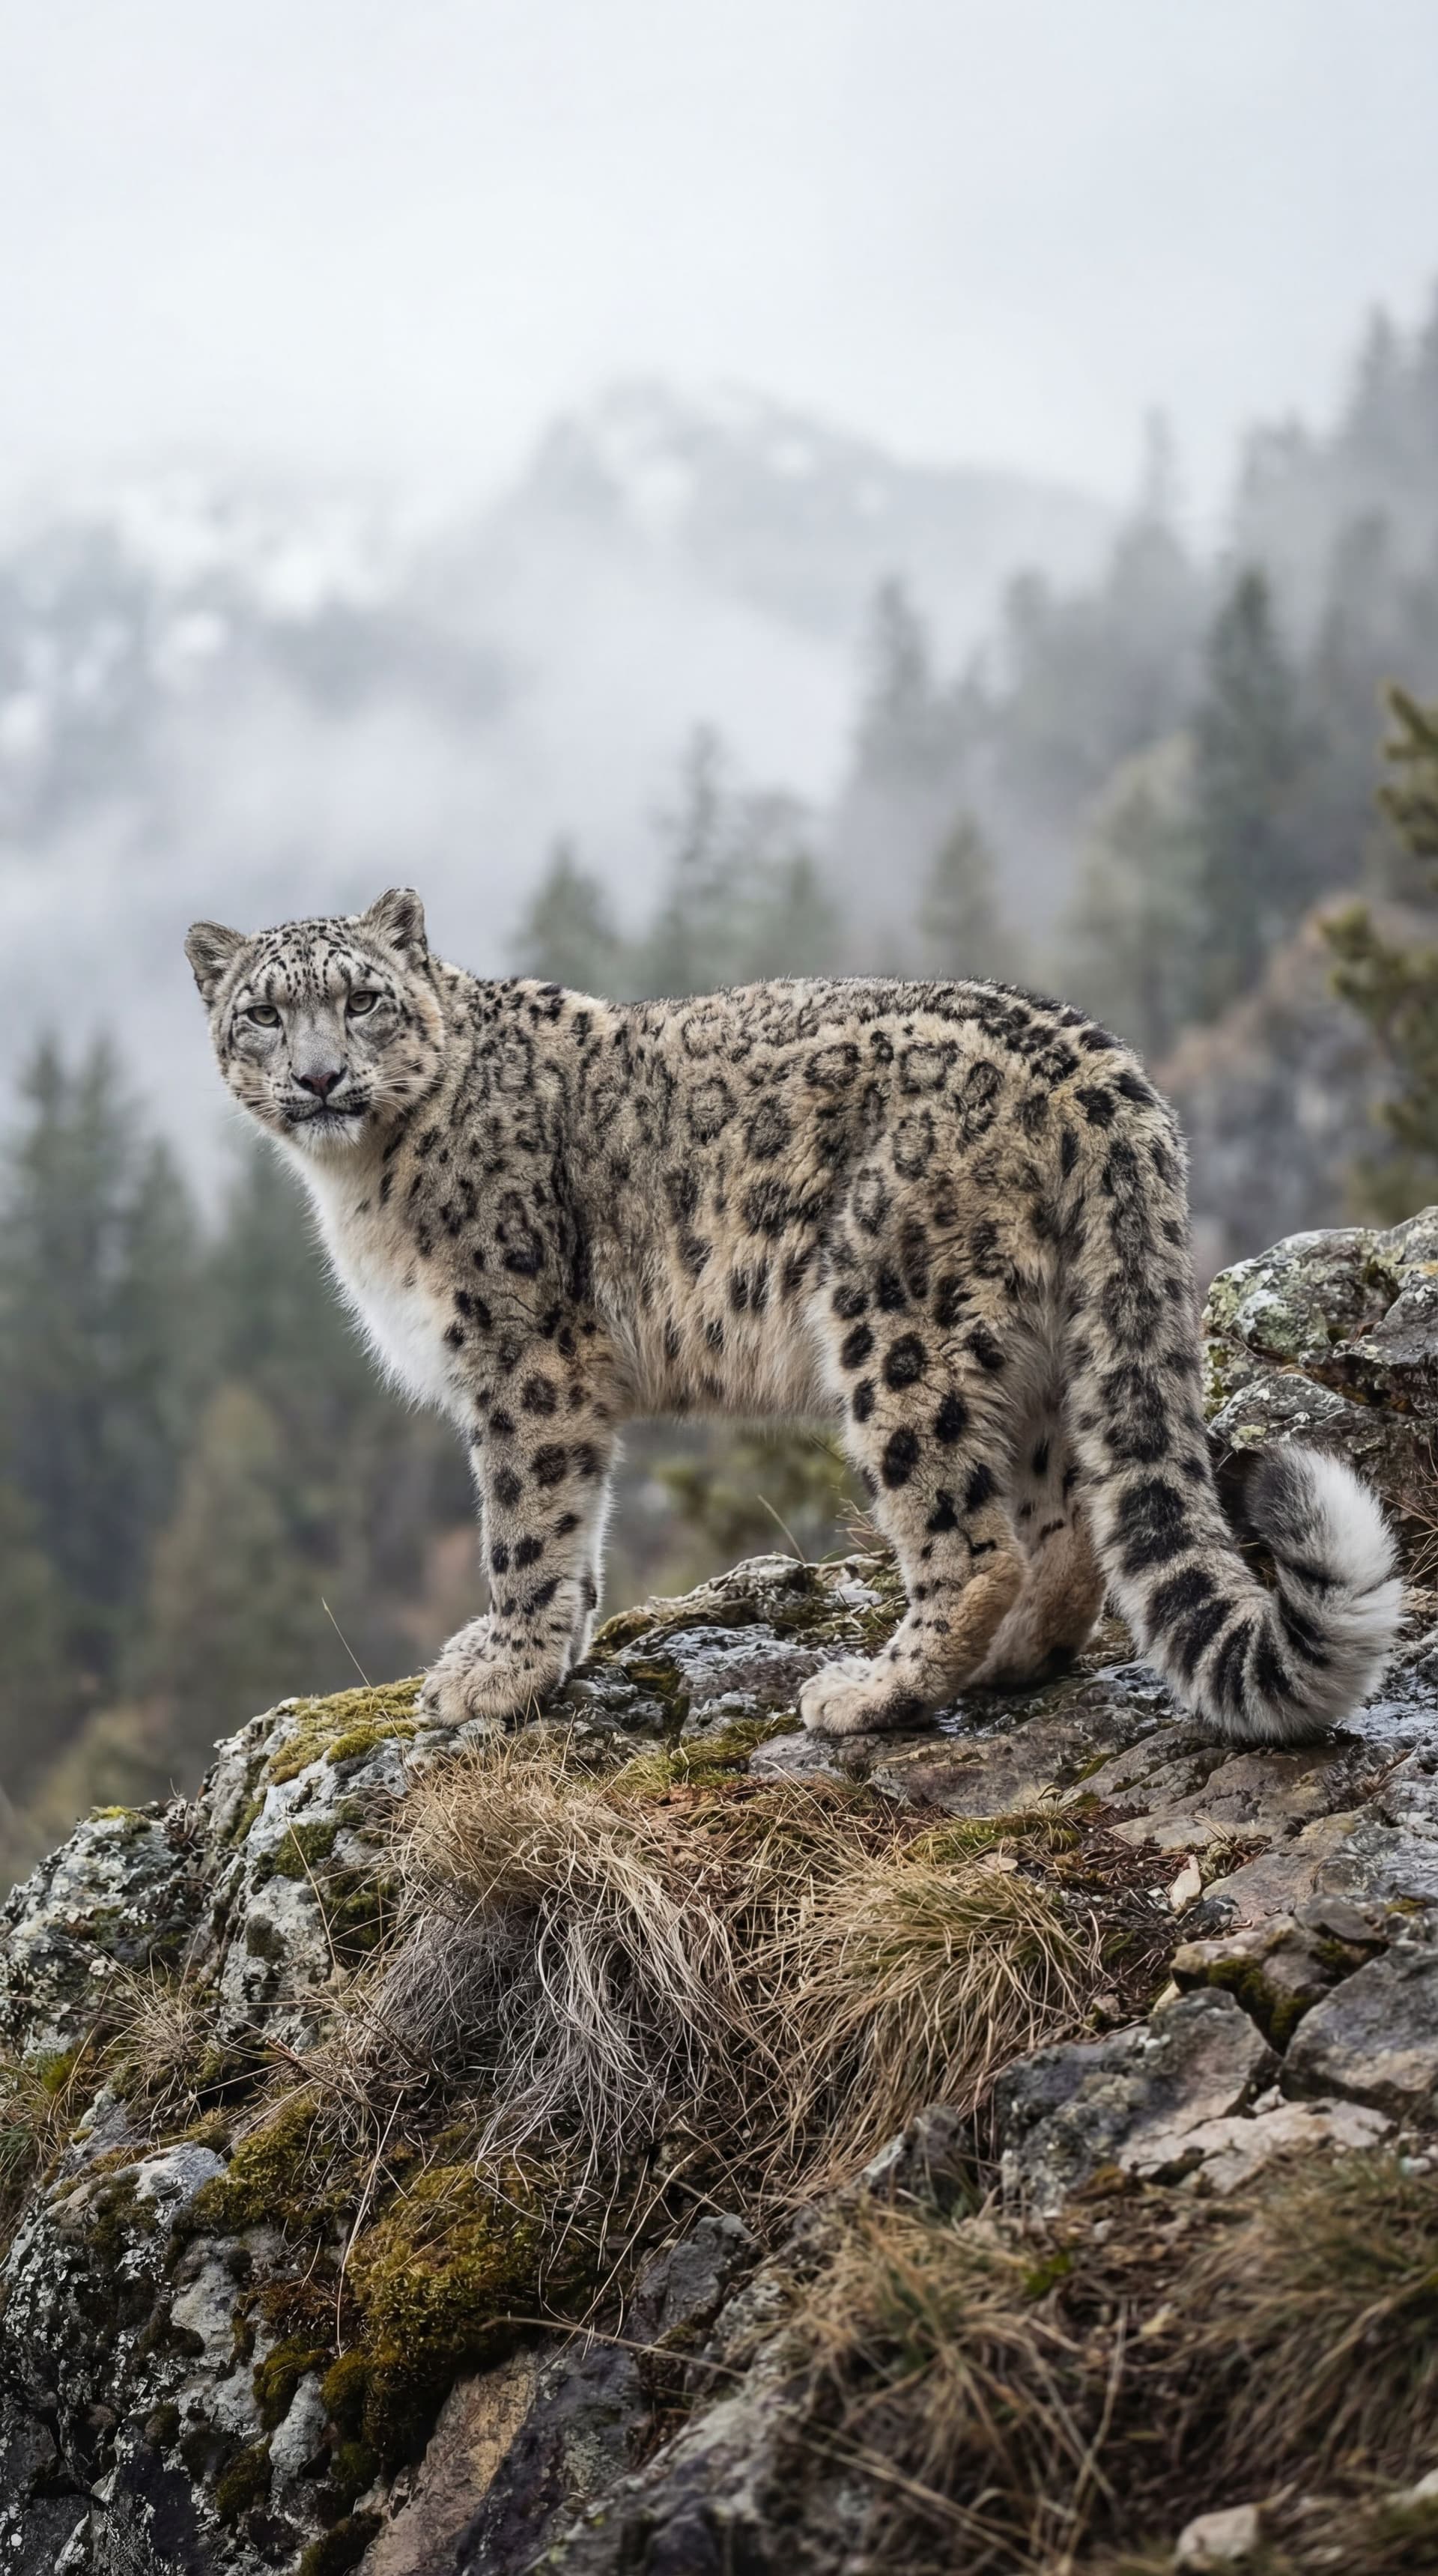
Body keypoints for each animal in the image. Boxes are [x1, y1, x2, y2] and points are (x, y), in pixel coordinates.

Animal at [185, 887, 1401, 1744]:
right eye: (264, 1013)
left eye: (361, 997)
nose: (320, 1077)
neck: (359, 1189)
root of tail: (1098, 1069)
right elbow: (581, 1526)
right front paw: (546, 1652)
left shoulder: (524, 1355)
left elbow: (527, 1521)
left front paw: (503, 1670)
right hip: (1042, 1347)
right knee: (1059, 1526)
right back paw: (1009, 1662)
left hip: (895, 1318)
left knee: (970, 1539)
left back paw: (872, 1691)